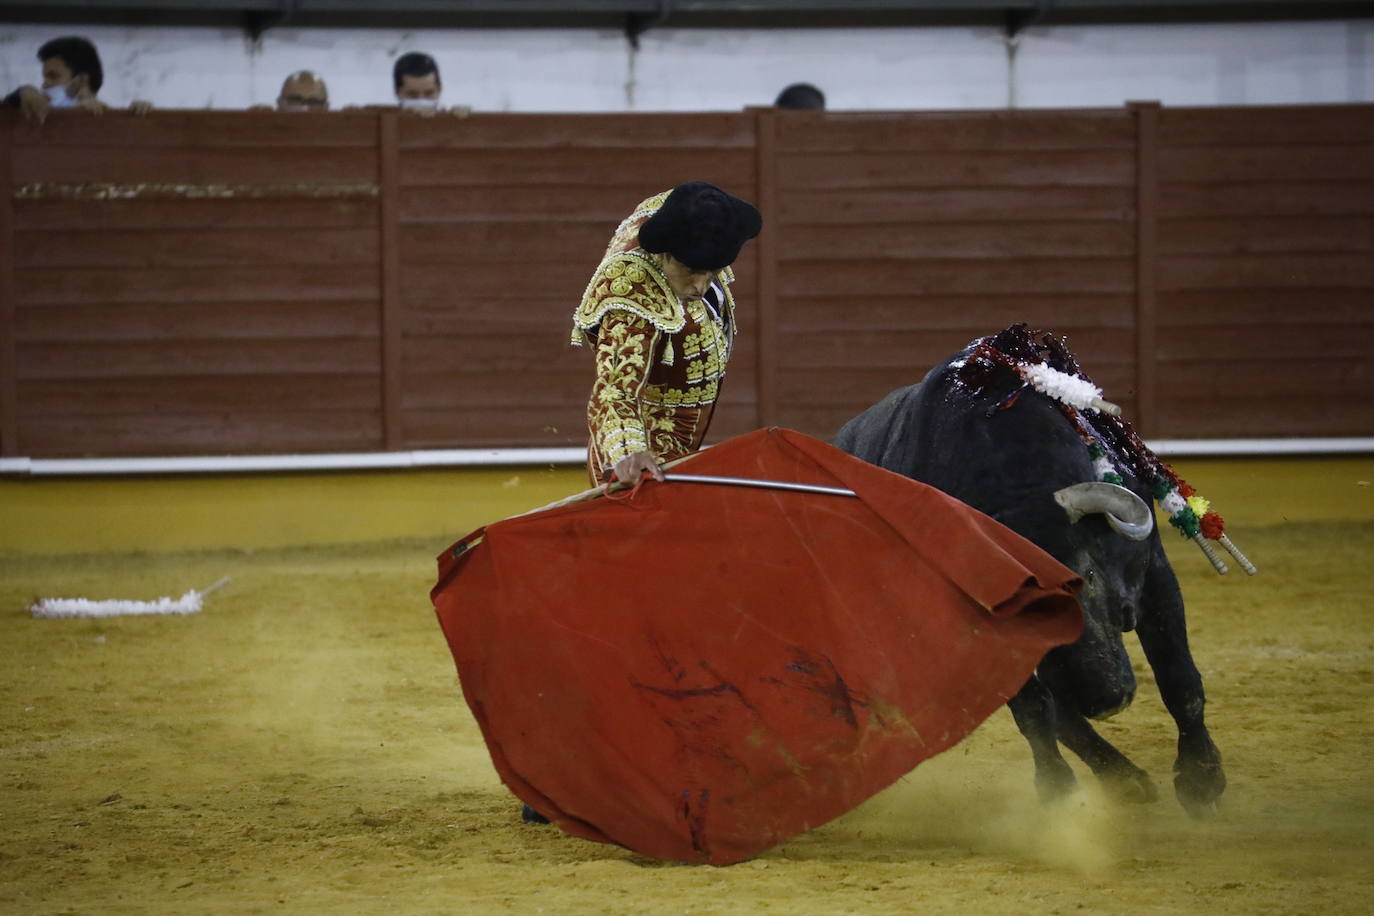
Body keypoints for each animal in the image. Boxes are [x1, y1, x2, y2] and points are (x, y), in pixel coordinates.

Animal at [829, 348, 1231, 818]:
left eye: (1088, 575)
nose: (1103, 698)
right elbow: (1036, 709)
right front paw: (1058, 791)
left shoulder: (1154, 577)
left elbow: (1178, 676)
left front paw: (1202, 780)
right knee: (1055, 712)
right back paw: (1122, 780)